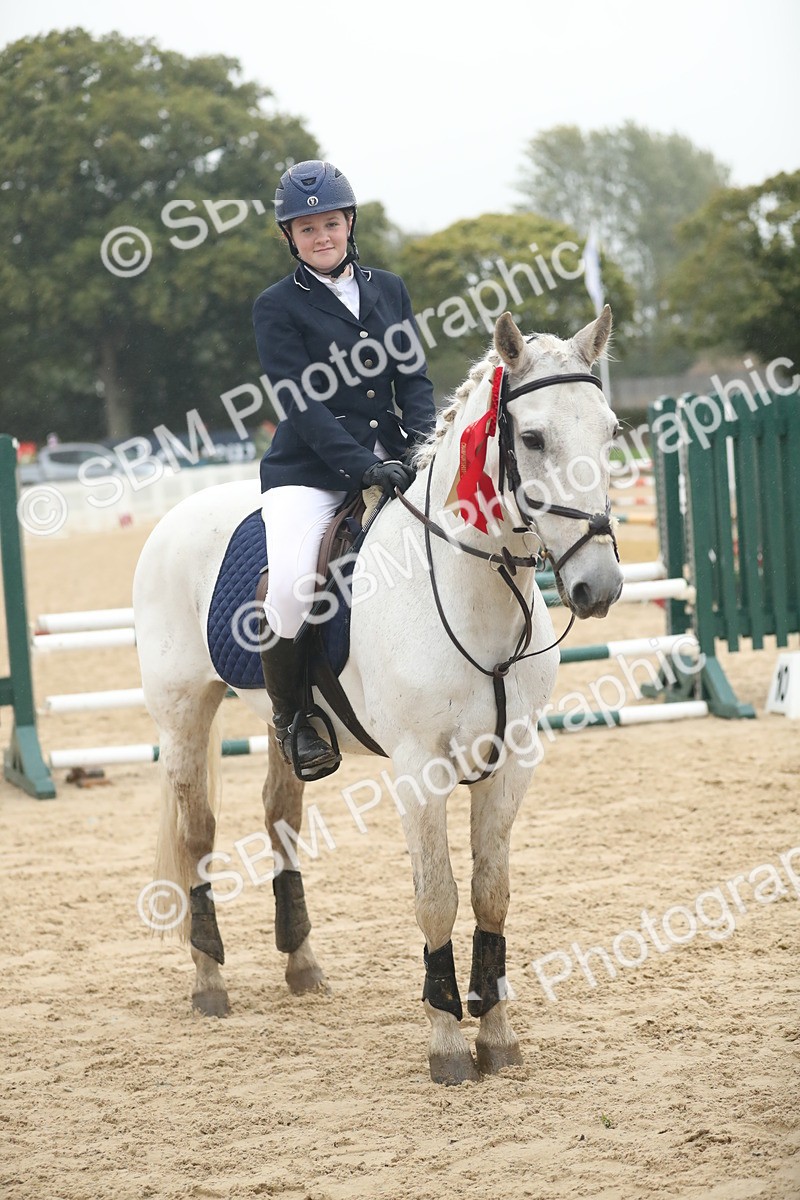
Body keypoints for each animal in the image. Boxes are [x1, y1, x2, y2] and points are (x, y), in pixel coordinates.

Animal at [132, 307, 623, 1085]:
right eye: (534, 438)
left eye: (611, 431)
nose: (597, 587)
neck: (471, 588)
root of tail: (181, 514)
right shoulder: (420, 769)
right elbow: (436, 897)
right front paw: (448, 1041)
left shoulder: (513, 762)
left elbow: (491, 892)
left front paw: (497, 1033)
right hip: (183, 711)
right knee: (197, 834)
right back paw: (209, 980)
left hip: (280, 721)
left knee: (281, 814)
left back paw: (302, 964)